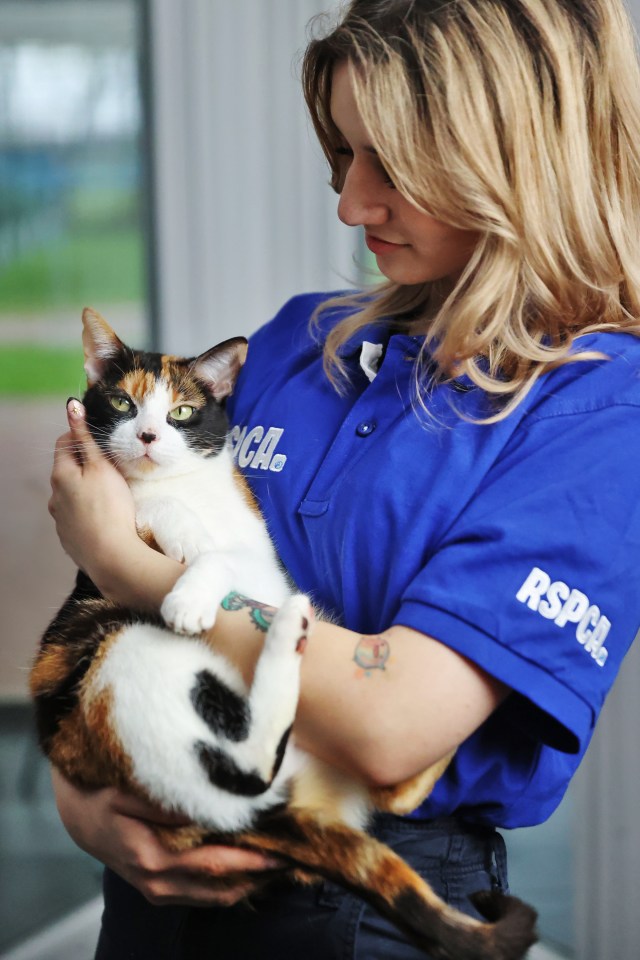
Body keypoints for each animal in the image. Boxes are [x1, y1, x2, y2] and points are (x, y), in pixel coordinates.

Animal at [31, 310, 540, 960]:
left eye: (181, 412)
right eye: (122, 402)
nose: (145, 436)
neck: (185, 489)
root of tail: (276, 816)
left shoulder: (259, 556)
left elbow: (233, 557)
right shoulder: (126, 538)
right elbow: (179, 536)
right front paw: (189, 587)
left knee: (389, 789)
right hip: (119, 653)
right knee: (252, 764)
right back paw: (286, 634)